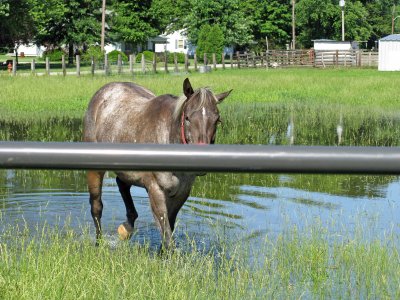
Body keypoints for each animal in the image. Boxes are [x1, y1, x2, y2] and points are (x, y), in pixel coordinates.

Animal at [83, 78, 231, 248]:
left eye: (217, 120)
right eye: (187, 118)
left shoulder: (181, 193)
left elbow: (169, 229)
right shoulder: (156, 190)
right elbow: (167, 234)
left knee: (122, 185)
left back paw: (126, 228)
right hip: (95, 171)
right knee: (96, 207)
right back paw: (99, 243)